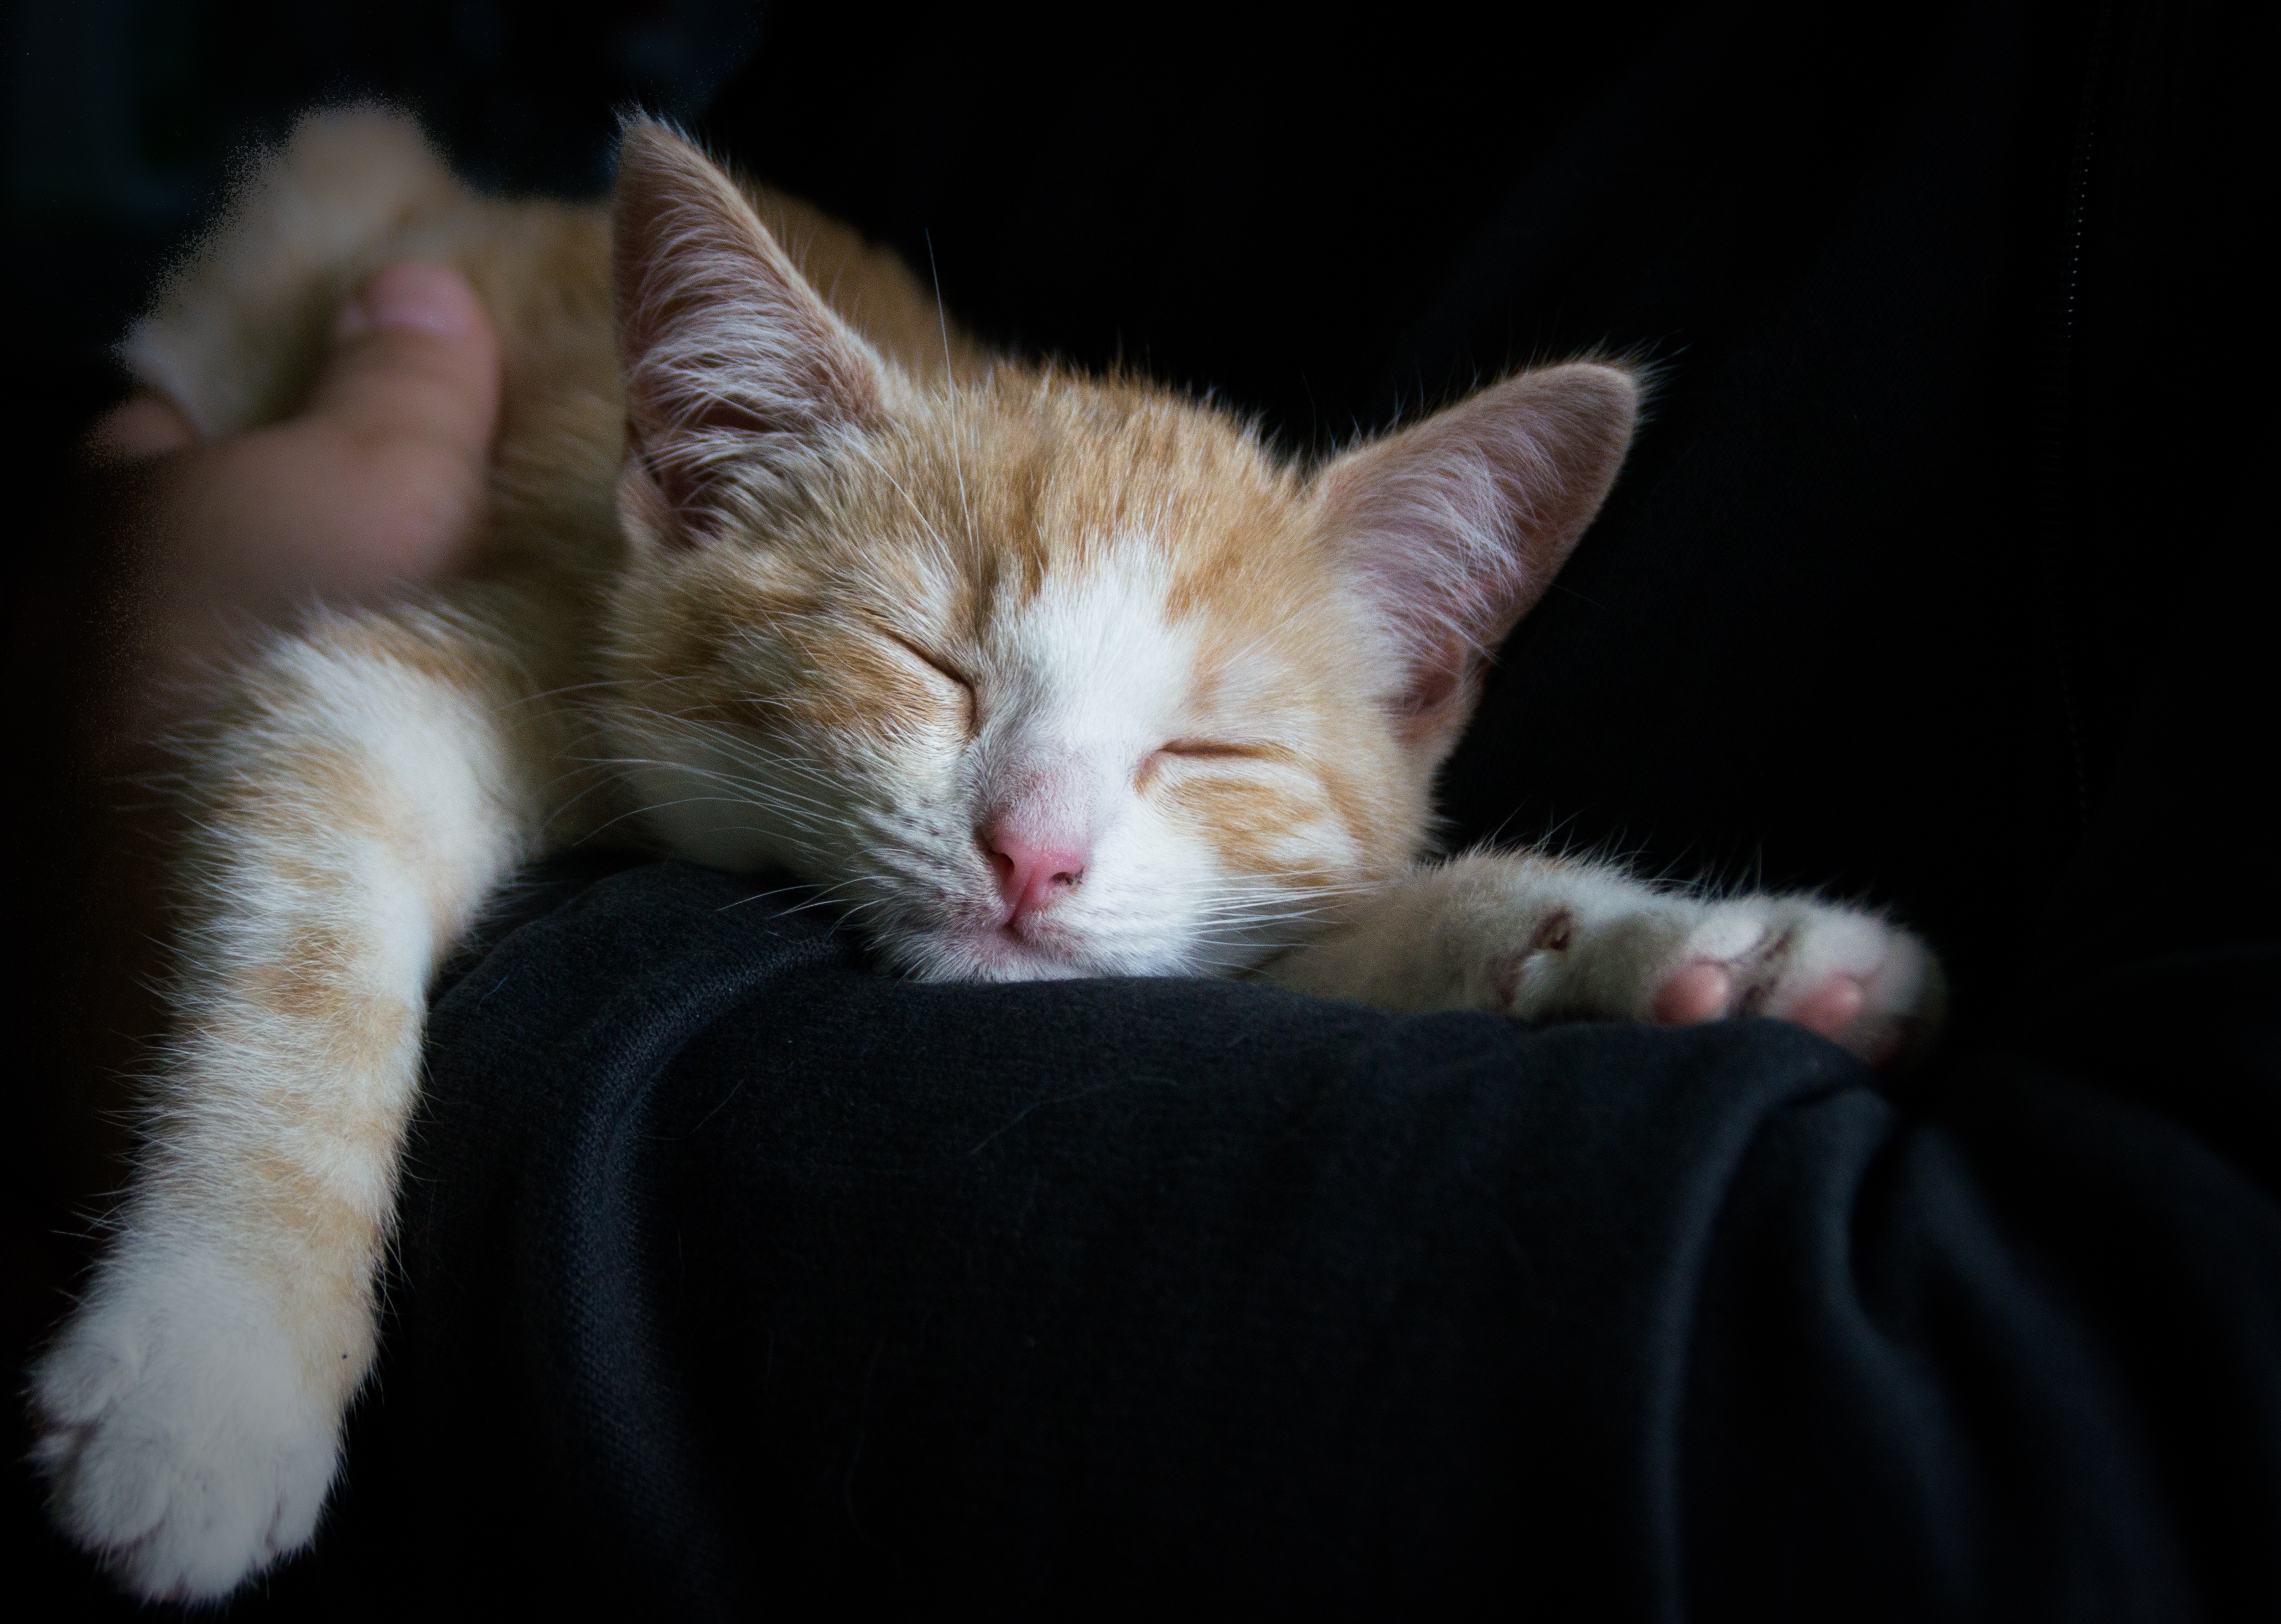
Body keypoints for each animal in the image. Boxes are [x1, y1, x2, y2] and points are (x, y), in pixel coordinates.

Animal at [27, 111, 1934, 1596]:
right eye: (926, 662)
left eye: (1203, 751)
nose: (1032, 854)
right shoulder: (498, 644)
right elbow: (310, 892)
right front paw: (213, 1371)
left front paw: (1693, 951)